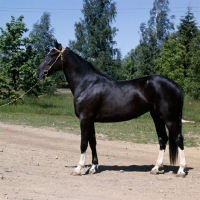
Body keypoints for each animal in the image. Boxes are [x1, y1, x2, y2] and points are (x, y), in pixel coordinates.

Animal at [36, 40, 188, 177]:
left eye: (52, 55)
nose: (38, 73)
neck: (87, 84)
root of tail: (176, 85)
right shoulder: (90, 120)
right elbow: (93, 142)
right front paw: (93, 167)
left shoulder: (85, 119)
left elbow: (83, 143)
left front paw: (78, 169)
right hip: (157, 117)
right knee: (163, 139)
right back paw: (156, 168)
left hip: (169, 118)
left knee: (178, 139)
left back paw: (181, 170)